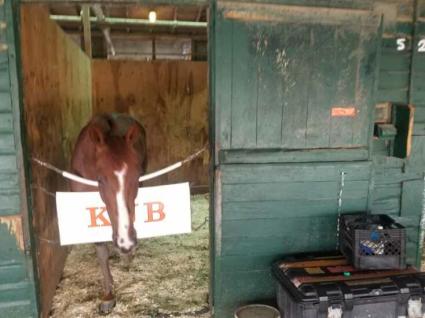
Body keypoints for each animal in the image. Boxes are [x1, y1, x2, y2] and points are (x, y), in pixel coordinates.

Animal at [70, 113, 147, 314]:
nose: (126, 243)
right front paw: (108, 294)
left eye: (137, 175)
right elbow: (101, 252)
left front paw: (126, 252)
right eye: (100, 179)